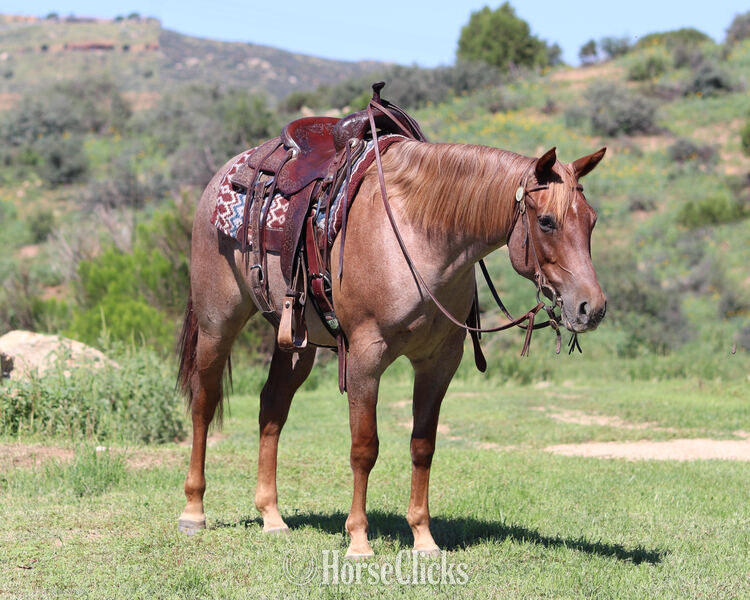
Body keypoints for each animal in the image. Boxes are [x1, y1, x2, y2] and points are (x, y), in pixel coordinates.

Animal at [176, 131, 607, 558]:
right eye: (547, 221)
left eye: (591, 221)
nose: (592, 308)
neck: (418, 236)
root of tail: (224, 175)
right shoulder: (365, 358)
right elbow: (364, 448)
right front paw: (358, 540)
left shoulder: (439, 362)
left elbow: (423, 445)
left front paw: (423, 538)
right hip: (217, 325)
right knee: (203, 404)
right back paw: (193, 511)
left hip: (296, 343)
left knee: (272, 409)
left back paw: (271, 516)